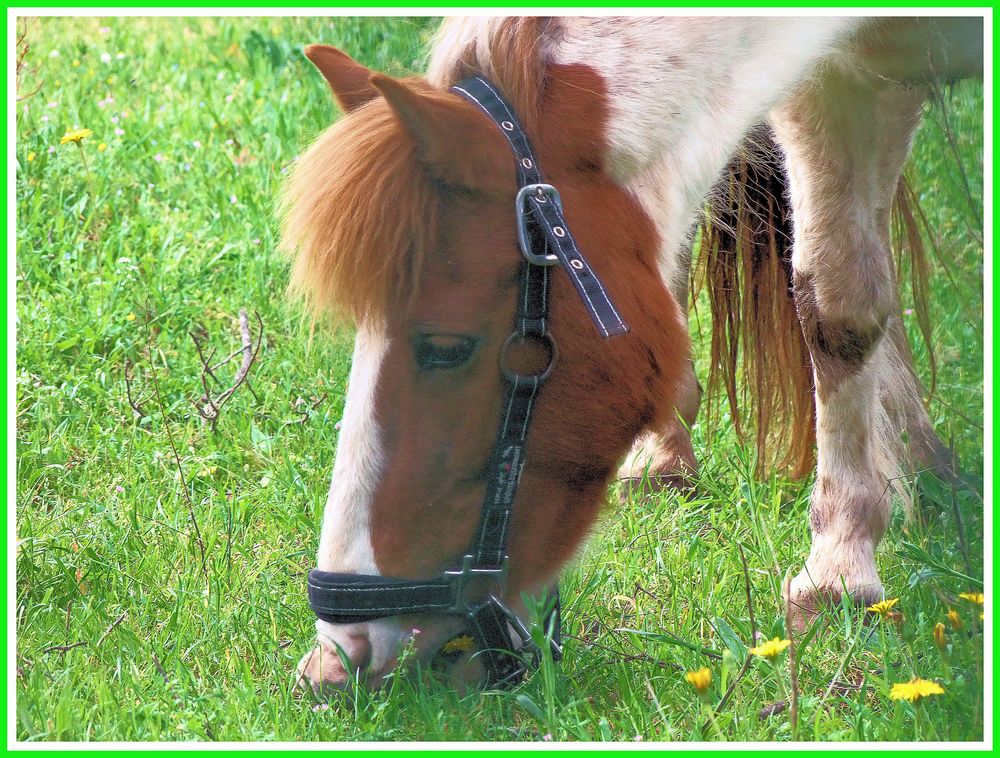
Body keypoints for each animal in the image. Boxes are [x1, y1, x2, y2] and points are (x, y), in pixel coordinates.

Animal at [282, 16, 984, 696]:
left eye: (446, 347)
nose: (336, 659)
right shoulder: (839, 78)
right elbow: (828, 302)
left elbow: (842, 313)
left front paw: (842, 570)